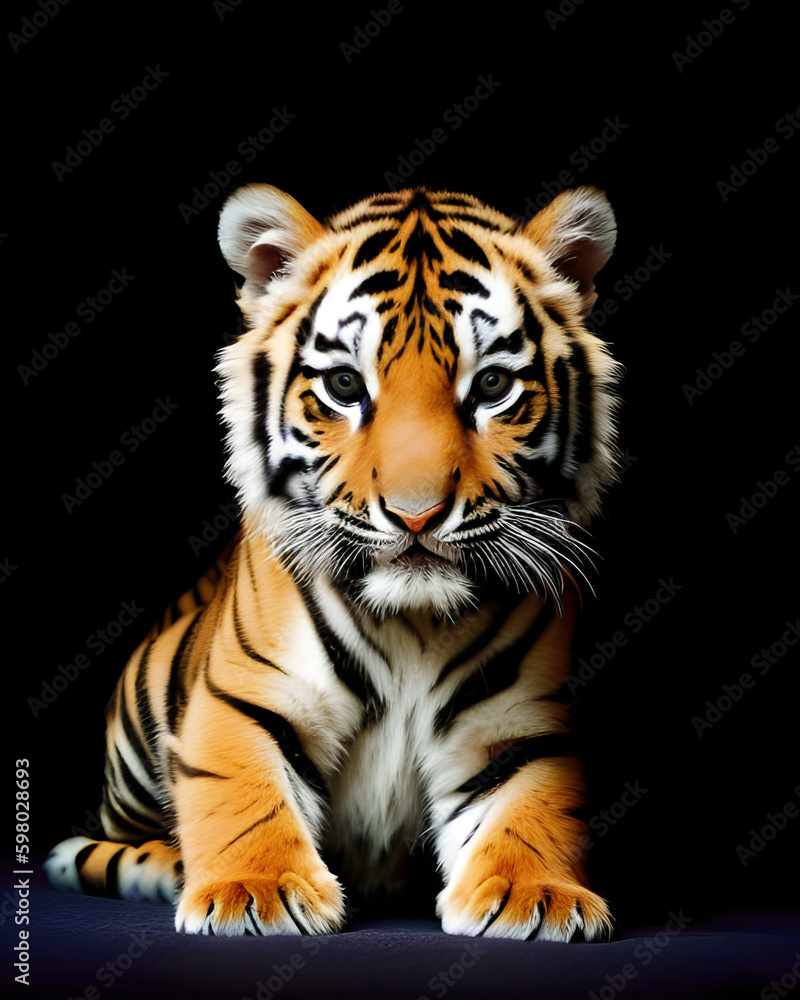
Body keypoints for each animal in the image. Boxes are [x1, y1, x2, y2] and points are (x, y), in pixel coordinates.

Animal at [45, 182, 621, 941]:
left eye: (493, 385)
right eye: (346, 386)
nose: (416, 514)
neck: (414, 623)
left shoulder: (523, 723)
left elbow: (532, 809)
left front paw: (535, 895)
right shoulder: (241, 697)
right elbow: (243, 792)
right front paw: (256, 892)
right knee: (97, 845)